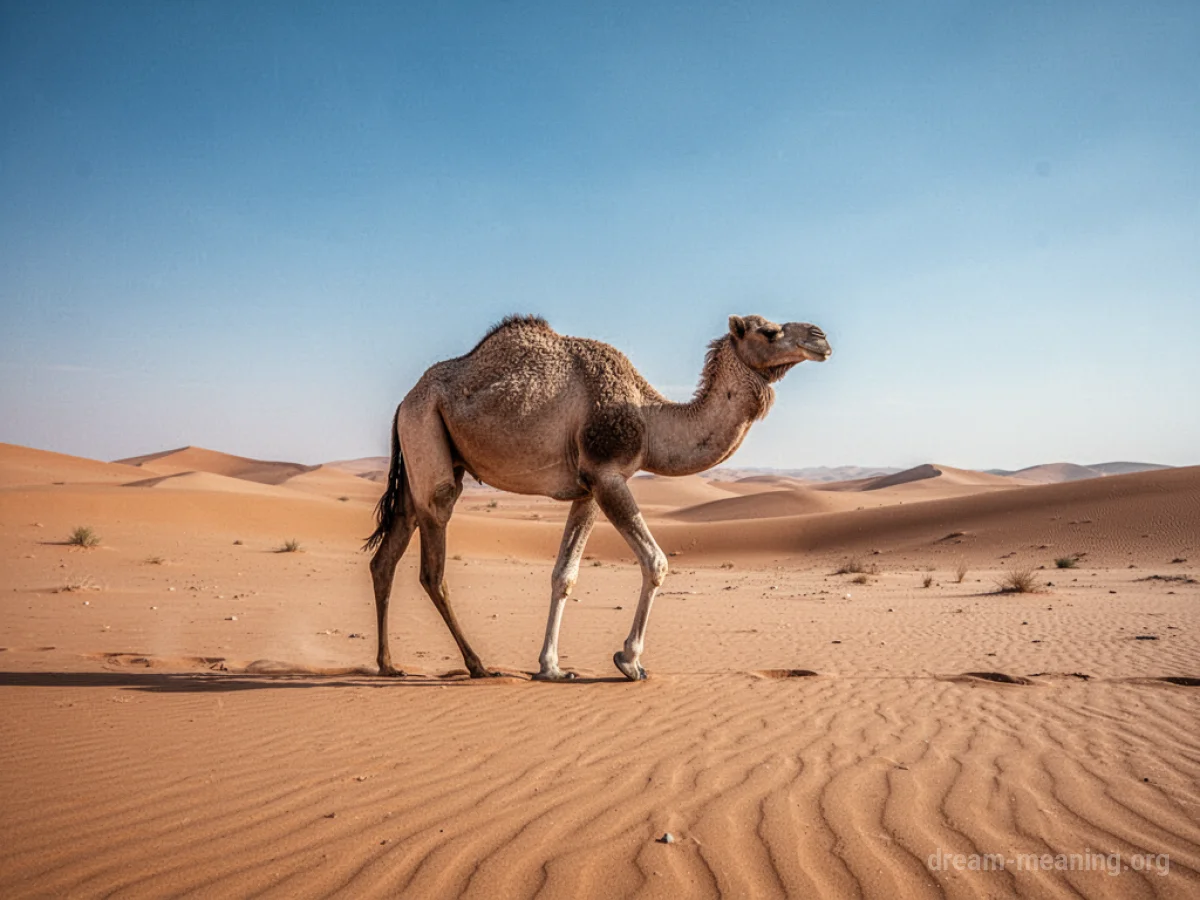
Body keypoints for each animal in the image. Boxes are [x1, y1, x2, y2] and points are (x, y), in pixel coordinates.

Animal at [365, 314, 832, 681]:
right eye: (769, 330)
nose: (821, 337)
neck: (650, 418)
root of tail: (404, 401)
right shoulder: (608, 474)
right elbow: (656, 562)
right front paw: (629, 661)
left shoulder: (588, 488)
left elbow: (564, 574)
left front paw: (551, 667)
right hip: (428, 437)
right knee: (433, 565)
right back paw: (477, 665)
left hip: (423, 455)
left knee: (387, 553)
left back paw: (388, 664)